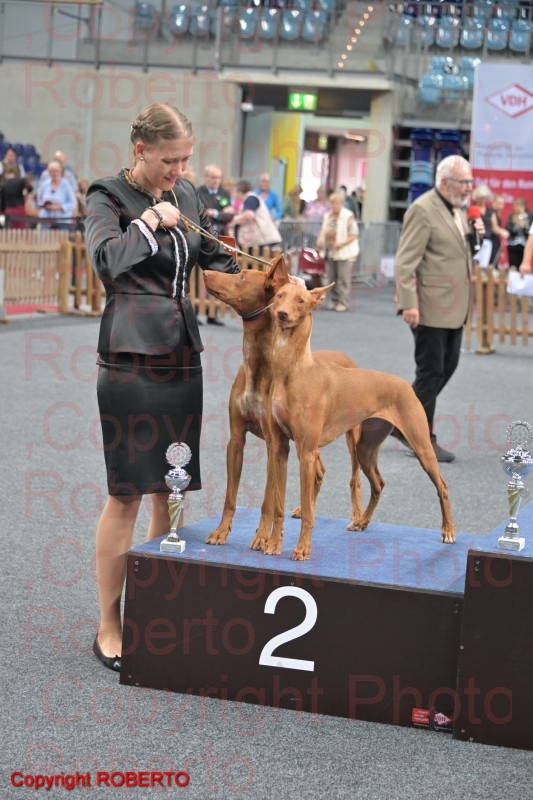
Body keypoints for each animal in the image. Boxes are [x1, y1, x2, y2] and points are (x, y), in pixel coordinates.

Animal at [202, 256, 391, 550]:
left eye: (242, 276)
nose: (206, 272)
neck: (259, 362)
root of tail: (344, 357)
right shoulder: (237, 438)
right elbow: (230, 495)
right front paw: (221, 532)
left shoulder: (274, 442)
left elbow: (269, 499)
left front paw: (262, 537)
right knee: (319, 471)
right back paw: (305, 509)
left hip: (353, 438)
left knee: (355, 478)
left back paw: (357, 516)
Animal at [264, 280, 455, 561]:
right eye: (279, 295)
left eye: (301, 300)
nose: (282, 314)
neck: (294, 371)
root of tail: (404, 384)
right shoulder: (280, 448)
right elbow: (277, 505)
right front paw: (273, 545)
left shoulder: (307, 452)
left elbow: (308, 511)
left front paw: (302, 549)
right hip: (365, 448)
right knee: (378, 484)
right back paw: (361, 521)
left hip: (419, 446)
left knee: (442, 485)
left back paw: (448, 530)